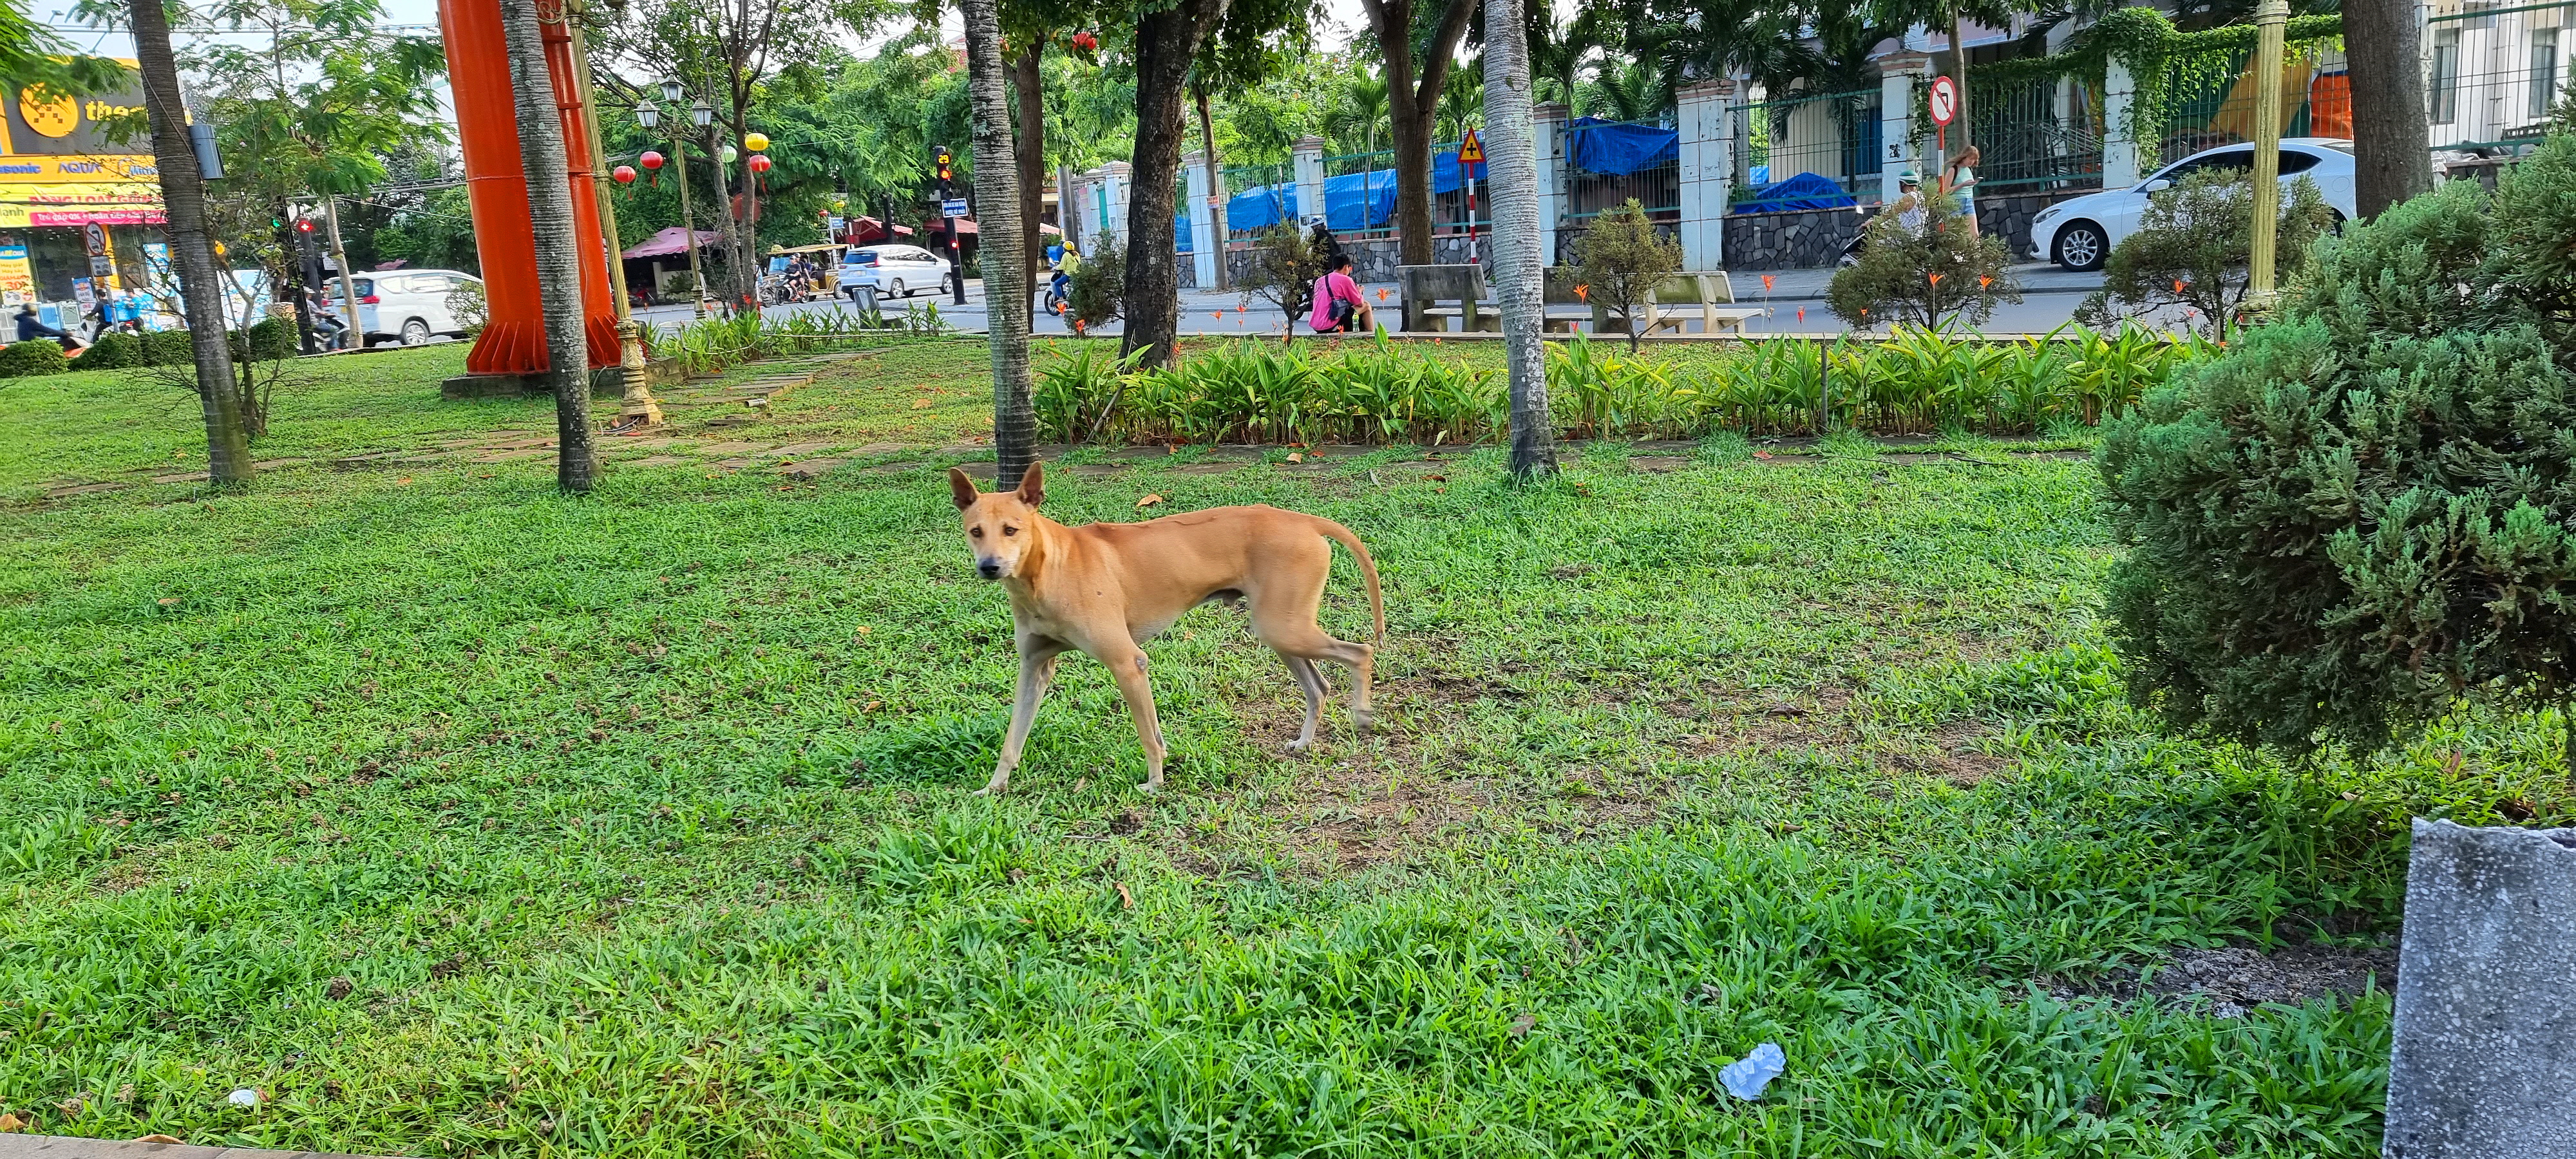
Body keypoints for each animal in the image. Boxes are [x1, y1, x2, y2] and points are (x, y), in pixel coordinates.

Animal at [953, 461, 1391, 798]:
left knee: (1360, 652)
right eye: (975, 531)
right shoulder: (1034, 669)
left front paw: (1155, 782)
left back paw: (1363, 714)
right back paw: (1305, 741)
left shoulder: (1128, 663)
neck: (1048, 567)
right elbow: (1013, 738)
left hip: (1285, 628)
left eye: (1012, 530)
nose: (989, 567)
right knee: (1319, 686)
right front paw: (993, 788)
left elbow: (1148, 735)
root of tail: (1303, 519)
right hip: (1280, 631)